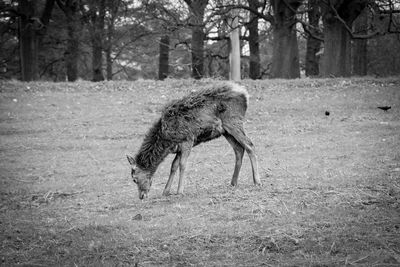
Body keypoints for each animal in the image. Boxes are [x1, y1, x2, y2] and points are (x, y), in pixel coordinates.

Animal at [126, 82, 260, 200]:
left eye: (134, 179)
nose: (141, 196)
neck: (167, 141)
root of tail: (245, 94)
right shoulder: (179, 147)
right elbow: (173, 166)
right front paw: (166, 191)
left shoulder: (187, 140)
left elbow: (182, 165)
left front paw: (179, 191)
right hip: (226, 131)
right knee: (239, 149)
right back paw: (233, 182)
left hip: (234, 121)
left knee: (250, 145)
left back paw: (257, 181)